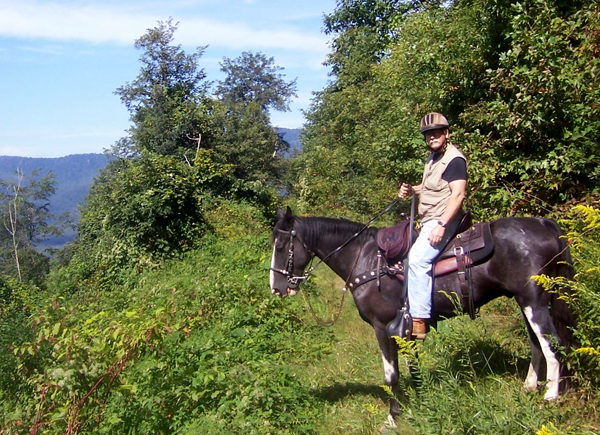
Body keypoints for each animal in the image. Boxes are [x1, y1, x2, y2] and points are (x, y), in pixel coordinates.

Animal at [270, 207, 576, 426]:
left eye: (281, 246)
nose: (276, 287)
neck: (367, 259)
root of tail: (544, 224)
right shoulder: (407, 329)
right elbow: (412, 367)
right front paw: (420, 399)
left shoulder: (383, 327)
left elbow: (391, 373)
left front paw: (393, 416)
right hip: (525, 303)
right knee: (537, 344)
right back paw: (529, 387)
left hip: (534, 302)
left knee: (553, 344)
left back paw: (550, 396)